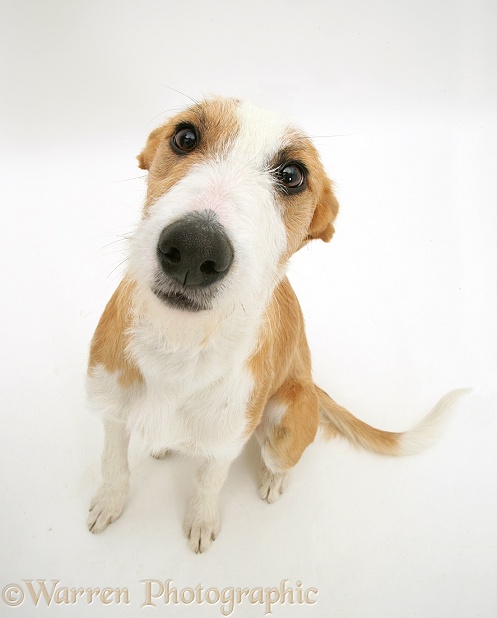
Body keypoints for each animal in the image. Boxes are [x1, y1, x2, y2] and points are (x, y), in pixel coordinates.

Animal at [86, 97, 468, 552]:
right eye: (185, 136)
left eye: (292, 176)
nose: (194, 249)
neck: (180, 344)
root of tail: (312, 383)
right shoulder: (110, 412)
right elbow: (113, 465)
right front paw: (109, 502)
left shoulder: (225, 444)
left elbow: (208, 483)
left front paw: (201, 520)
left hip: (286, 423)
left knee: (278, 456)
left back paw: (273, 478)